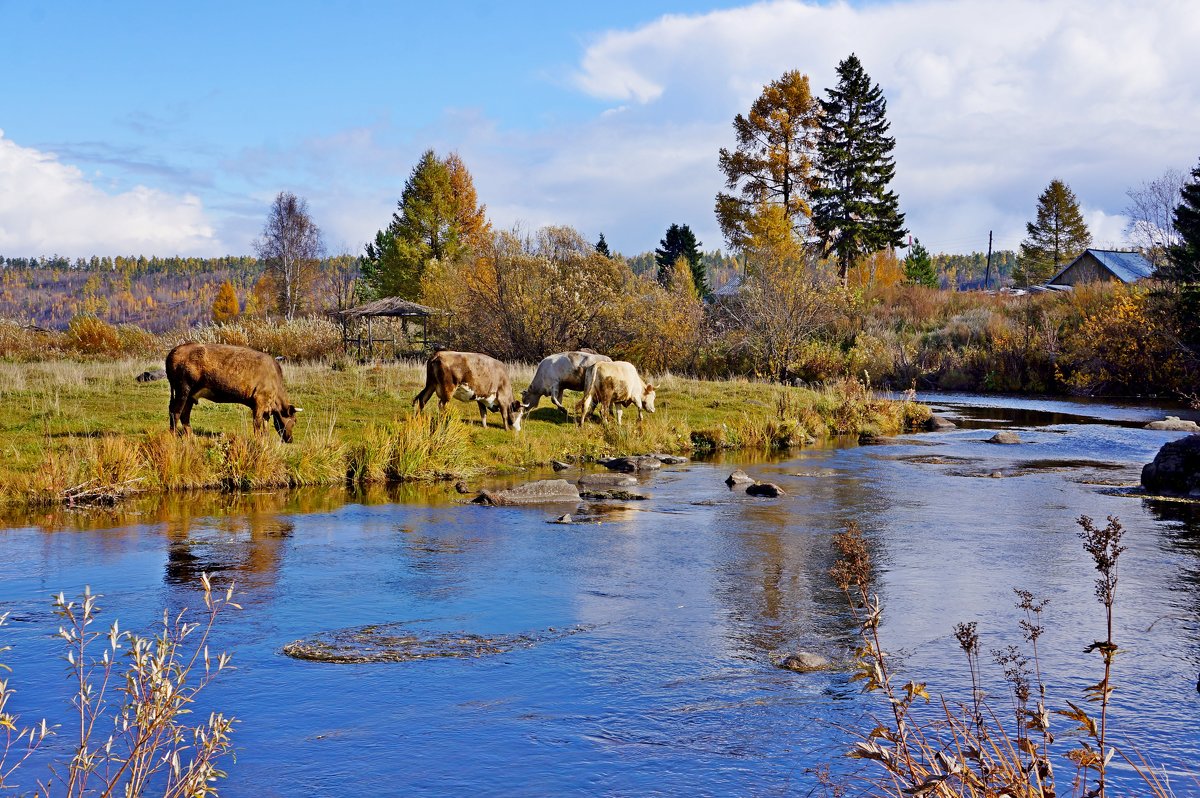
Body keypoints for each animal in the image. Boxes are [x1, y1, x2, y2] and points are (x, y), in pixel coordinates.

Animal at [166, 340, 302, 441]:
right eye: (294, 421)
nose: (290, 440)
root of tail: (175, 349)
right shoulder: (260, 401)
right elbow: (257, 423)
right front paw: (258, 440)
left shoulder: (266, 408)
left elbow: (265, 426)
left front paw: (265, 440)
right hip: (183, 390)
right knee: (175, 412)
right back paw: (173, 437)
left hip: (190, 394)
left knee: (185, 414)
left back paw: (191, 437)